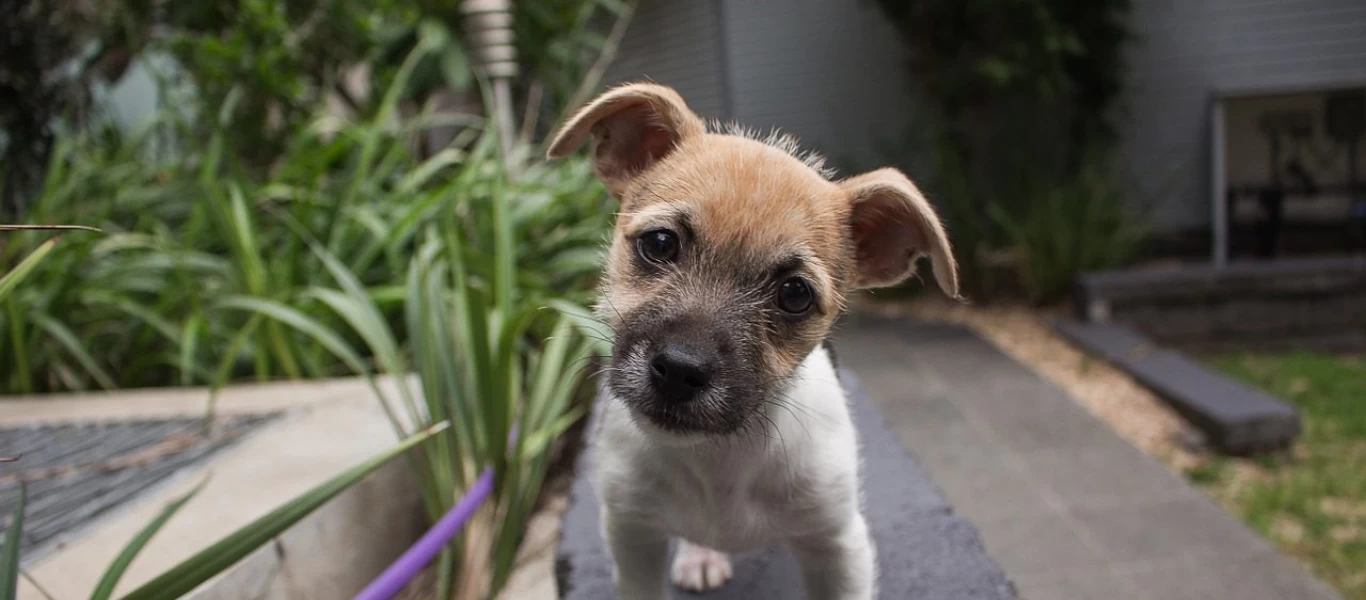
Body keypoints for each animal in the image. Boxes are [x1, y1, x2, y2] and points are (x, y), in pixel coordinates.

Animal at [546, 82, 961, 598]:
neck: (719, 458)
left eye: (795, 294)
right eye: (659, 244)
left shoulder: (840, 549)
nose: (679, 370)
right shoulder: (632, 536)